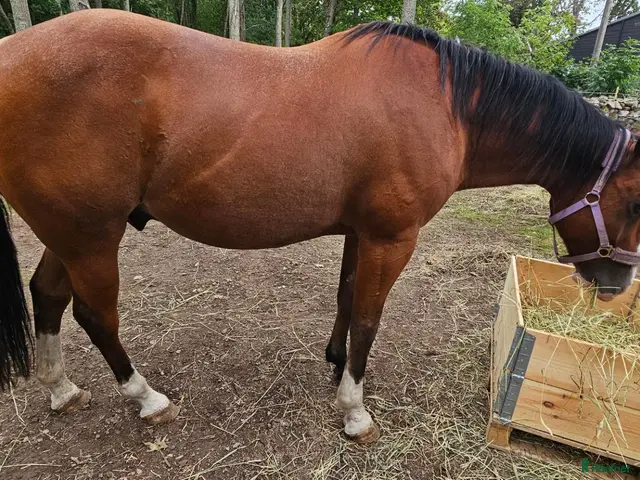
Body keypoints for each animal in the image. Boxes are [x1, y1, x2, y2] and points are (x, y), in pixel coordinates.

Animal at [0, 10, 638, 444]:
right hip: (91, 235)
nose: (616, 288)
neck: (446, 107)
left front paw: (335, 363)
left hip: (71, 234)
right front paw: (354, 409)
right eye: (633, 202)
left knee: (48, 294)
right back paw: (147, 398)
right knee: (95, 314)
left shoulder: (362, 232)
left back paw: (61, 390)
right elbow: (369, 316)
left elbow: (347, 297)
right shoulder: (392, 237)